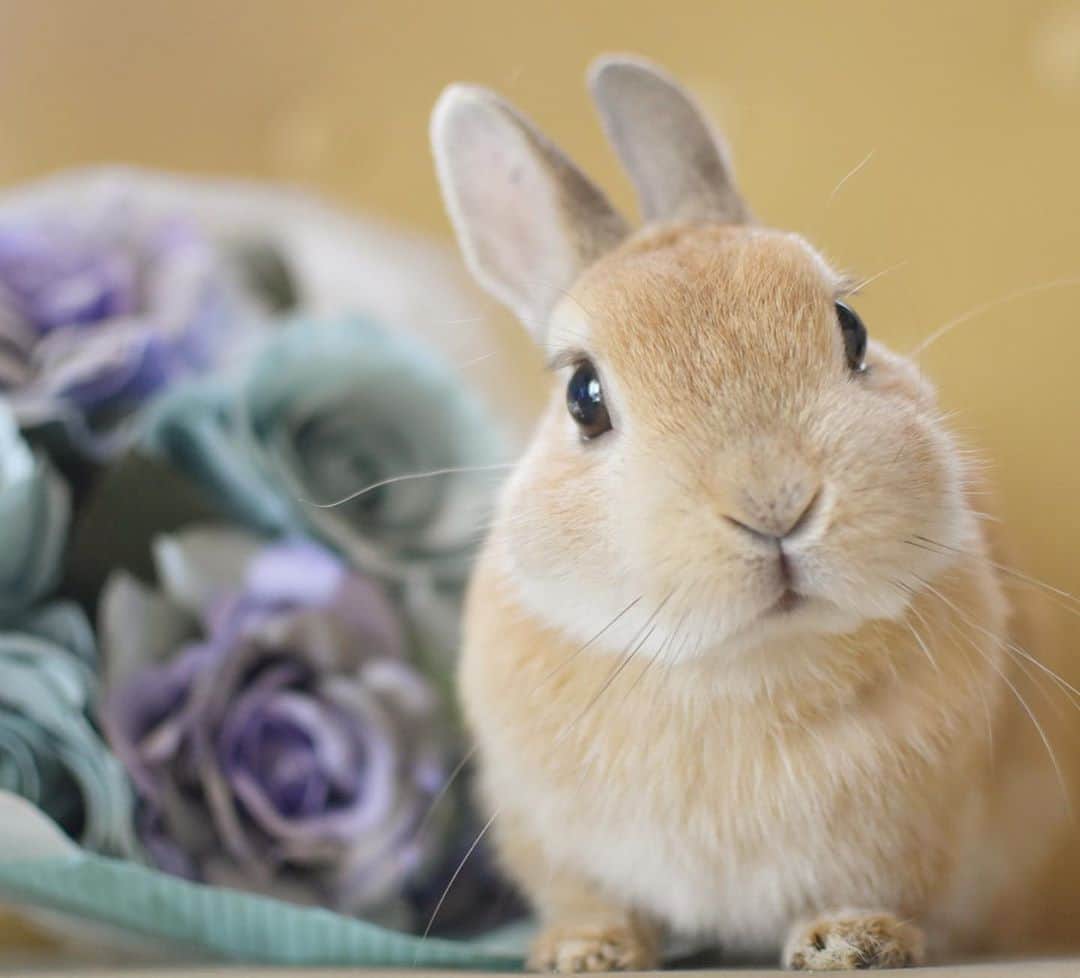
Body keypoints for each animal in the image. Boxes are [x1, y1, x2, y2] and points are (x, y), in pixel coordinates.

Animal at [429, 54, 1078, 971]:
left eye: (852, 329)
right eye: (583, 397)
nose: (775, 501)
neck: (739, 664)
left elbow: (878, 892)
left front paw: (852, 942)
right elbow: (594, 900)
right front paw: (585, 951)